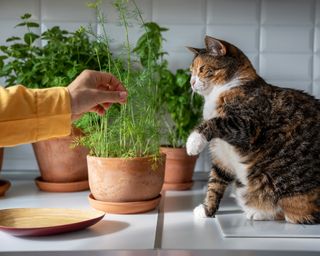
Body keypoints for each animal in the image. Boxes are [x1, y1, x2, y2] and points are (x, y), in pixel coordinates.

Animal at [186, 34, 320, 224]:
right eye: (191, 71)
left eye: (203, 69)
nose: (191, 82)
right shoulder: (221, 155)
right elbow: (215, 183)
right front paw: (207, 210)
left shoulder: (247, 126)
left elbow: (214, 122)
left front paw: (193, 142)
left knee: (297, 214)